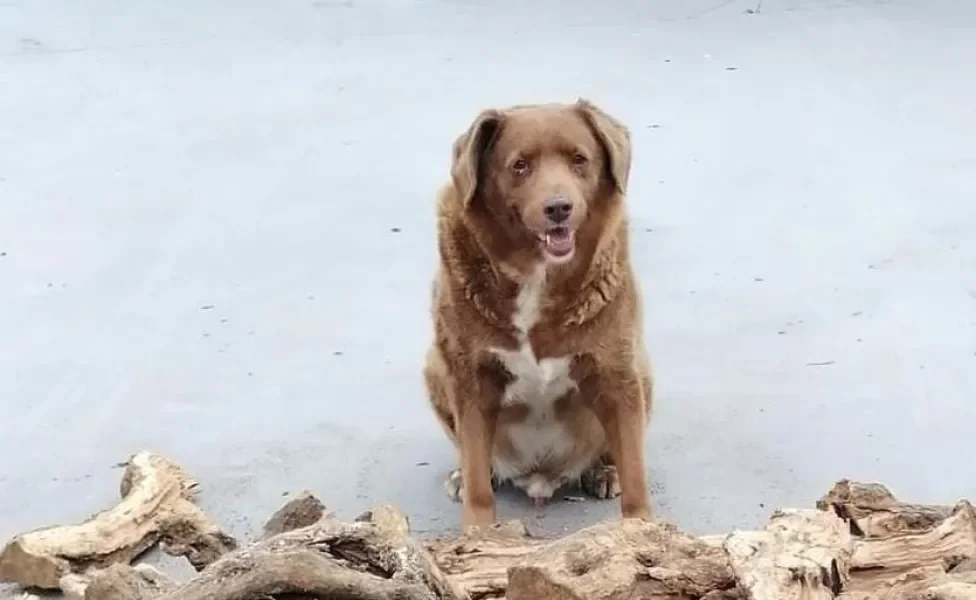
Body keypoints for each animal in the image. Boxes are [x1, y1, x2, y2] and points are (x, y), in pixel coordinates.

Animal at [424, 99, 652, 528]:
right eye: (520, 165)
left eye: (579, 159)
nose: (559, 207)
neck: (536, 275)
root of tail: (540, 476)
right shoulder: (471, 378)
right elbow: (478, 480)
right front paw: (478, 532)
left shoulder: (616, 372)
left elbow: (635, 473)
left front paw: (644, 529)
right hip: (434, 366)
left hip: (642, 371)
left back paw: (603, 471)